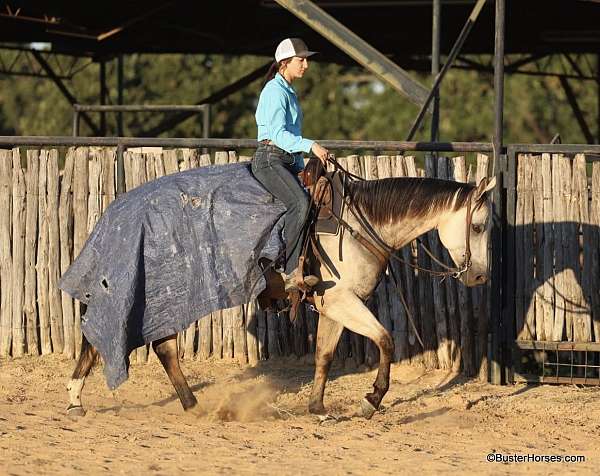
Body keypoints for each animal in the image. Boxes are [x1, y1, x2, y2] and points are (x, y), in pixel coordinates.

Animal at [65, 166, 496, 416]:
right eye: (478, 226)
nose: (479, 278)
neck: (361, 223)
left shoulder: (332, 305)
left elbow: (324, 355)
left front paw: (317, 405)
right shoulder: (344, 300)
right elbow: (386, 340)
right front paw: (372, 399)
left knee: (162, 347)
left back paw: (186, 404)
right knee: (126, 340)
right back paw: (77, 397)